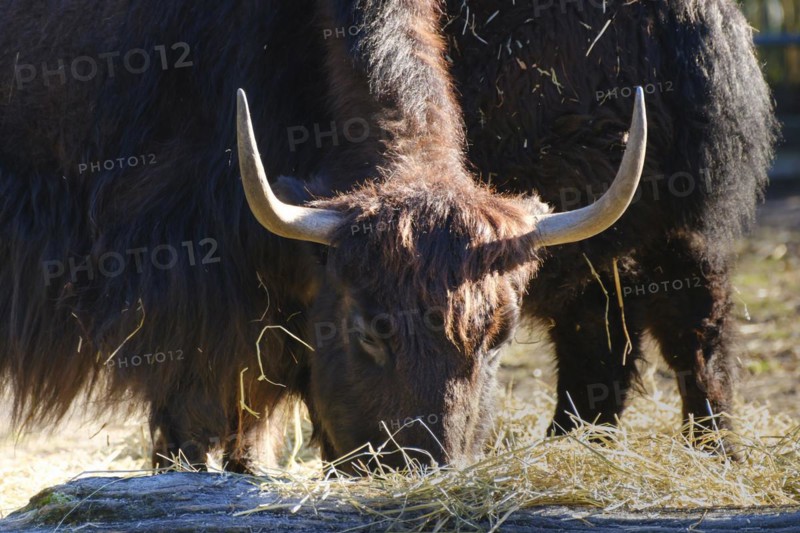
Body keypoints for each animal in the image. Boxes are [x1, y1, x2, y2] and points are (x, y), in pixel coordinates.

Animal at [0, 0, 773, 474]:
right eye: (369, 328)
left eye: (497, 337)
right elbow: (197, 414)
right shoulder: (192, 282)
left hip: (667, 240)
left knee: (675, 342)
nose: (424, 469)